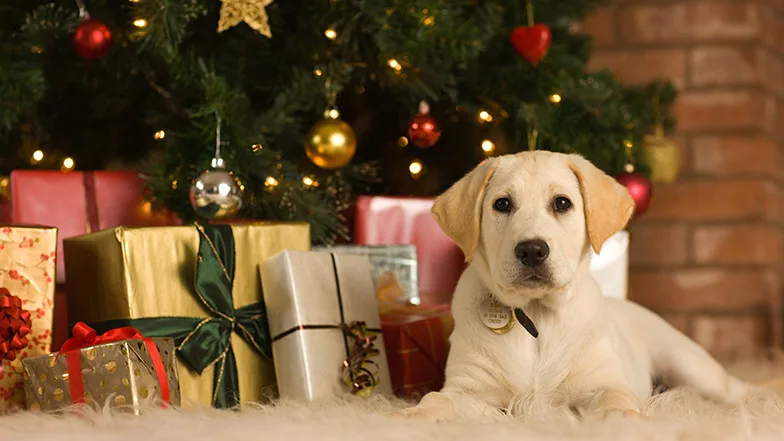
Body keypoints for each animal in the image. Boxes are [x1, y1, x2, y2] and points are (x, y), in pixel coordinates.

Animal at [398, 152, 748, 422]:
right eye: (502, 204)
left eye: (562, 203)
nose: (531, 250)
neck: (537, 313)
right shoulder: (468, 388)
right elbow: (436, 399)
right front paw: (408, 418)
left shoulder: (602, 382)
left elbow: (616, 400)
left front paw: (623, 421)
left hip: (686, 362)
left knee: (738, 390)